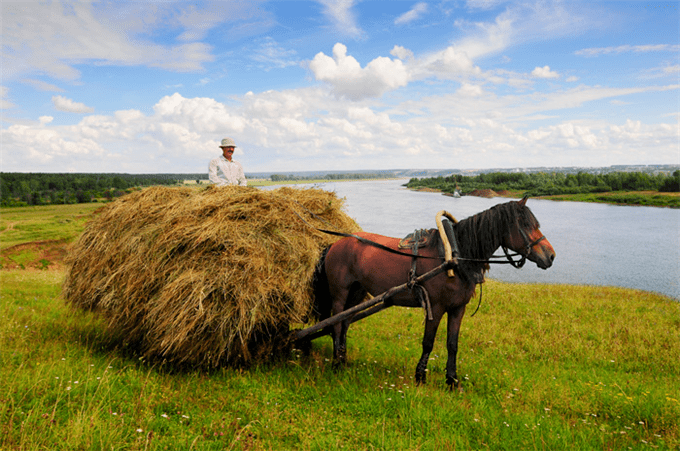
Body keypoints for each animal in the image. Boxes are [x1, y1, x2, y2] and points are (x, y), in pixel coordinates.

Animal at [310, 196, 556, 390]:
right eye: (526, 225)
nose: (551, 256)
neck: (453, 256)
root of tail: (336, 243)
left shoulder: (458, 308)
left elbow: (452, 344)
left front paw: (452, 381)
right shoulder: (435, 307)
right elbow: (428, 342)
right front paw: (420, 377)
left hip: (357, 292)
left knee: (345, 323)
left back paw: (342, 358)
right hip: (340, 293)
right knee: (336, 323)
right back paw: (336, 364)